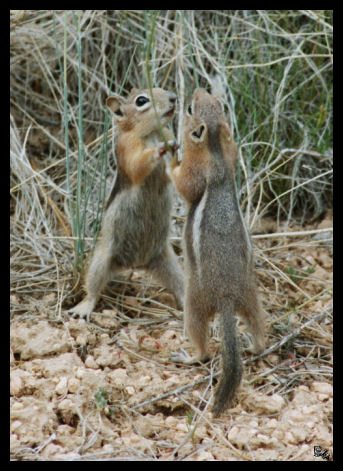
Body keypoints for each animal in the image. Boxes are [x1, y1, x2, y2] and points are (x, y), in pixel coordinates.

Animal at [68, 87, 184, 320]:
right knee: (92, 289)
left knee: (180, 285)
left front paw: (177, 148)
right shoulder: (127, 147)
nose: (174, 98)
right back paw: (83, 308)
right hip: (101, 261)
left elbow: (172, 171)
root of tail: (136, 264)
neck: (151, 133)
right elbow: (138, 165)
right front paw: (159, 150)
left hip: (170, 263)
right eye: (141, 101)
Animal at [169, 87, 266, 416]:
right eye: (217, 102)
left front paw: (168, 155)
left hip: (193, 304)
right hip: (251, 298)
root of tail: (226, 297)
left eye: (189, 108)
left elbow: (183, 184)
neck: (214, 149)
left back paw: (188, 356)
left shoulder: (195, 171)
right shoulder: (231, 150)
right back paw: (254, 345)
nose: (196, 89)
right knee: (259, 328)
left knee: (202, 346)